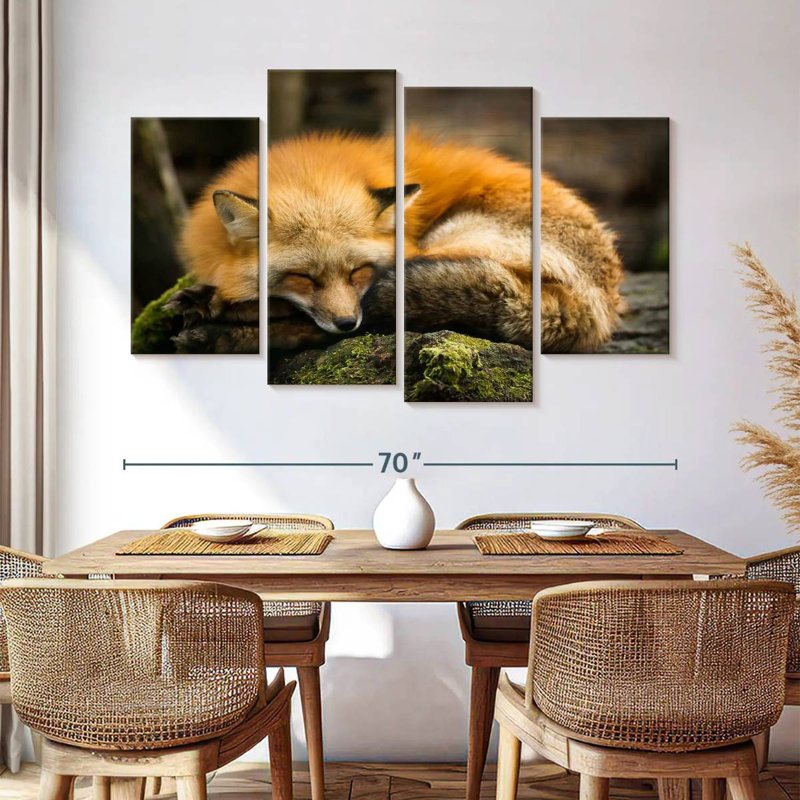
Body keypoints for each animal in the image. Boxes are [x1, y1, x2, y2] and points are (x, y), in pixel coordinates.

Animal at [171, 132, 624, 354]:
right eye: (303, 277)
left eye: (358, 271)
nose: (346, 322)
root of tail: (602, 304)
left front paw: (217, 306)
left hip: (449, 242)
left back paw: (217, 329)